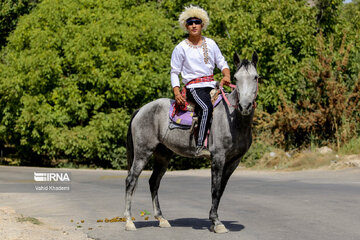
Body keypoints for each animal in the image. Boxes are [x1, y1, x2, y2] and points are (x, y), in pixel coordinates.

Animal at [124, 51, 258, 233]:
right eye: (236, 78)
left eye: (255, 77)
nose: (245, 106)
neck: (233, 119)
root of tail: (141, 110)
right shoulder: (218, 158)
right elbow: (215, 189)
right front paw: (216, 222)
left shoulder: (234, 161)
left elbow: (221, 189)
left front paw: (214, 220)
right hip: (142, 153)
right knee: (131, 180)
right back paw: (129, 221)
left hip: (162, 155)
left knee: (154, 182)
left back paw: (161, 219)